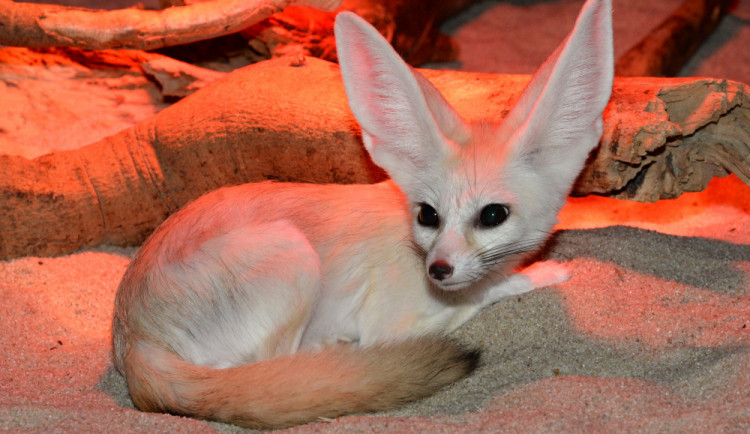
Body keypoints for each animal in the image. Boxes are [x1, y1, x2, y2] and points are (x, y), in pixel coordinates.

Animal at [113, 0, 616, 428]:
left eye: (492, 215)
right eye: (428, 215)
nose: (437, 270)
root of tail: (132, 340)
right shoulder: (395, 324)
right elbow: (482, 293)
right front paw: (539, 275)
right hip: (289, 250)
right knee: (260, 365)